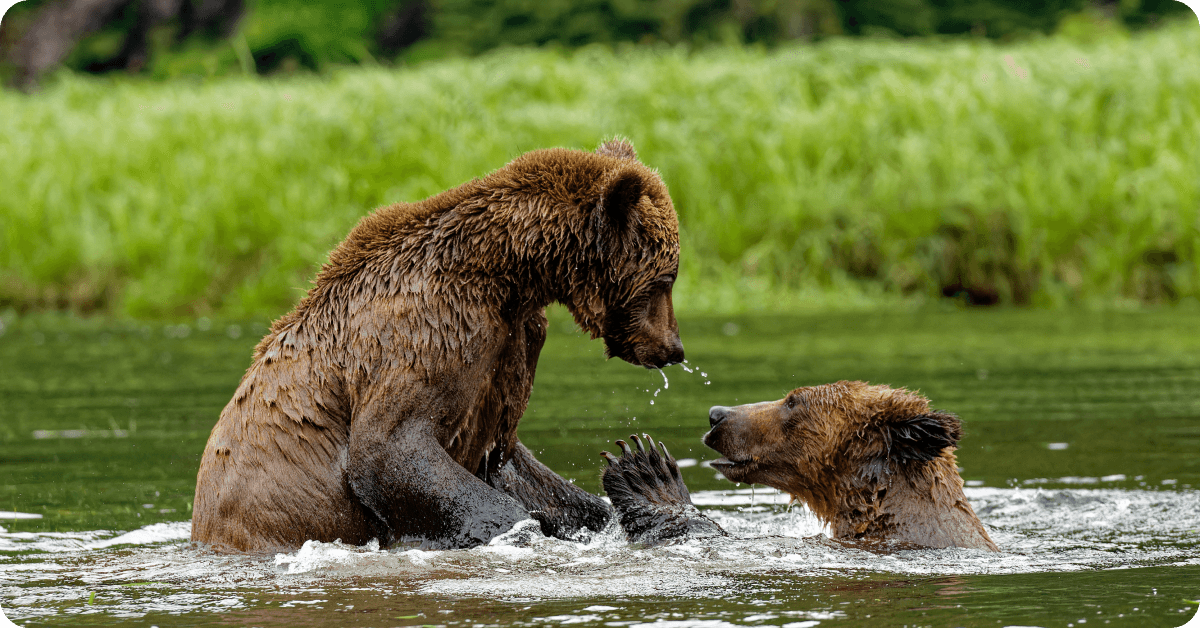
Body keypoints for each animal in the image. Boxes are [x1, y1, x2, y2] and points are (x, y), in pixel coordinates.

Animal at [192, 139, 685, 553]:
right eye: (666, 279)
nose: (674, 348)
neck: (510, 274)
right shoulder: (433, 329)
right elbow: (389, 446)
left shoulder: (511, 348)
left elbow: (508, 460)